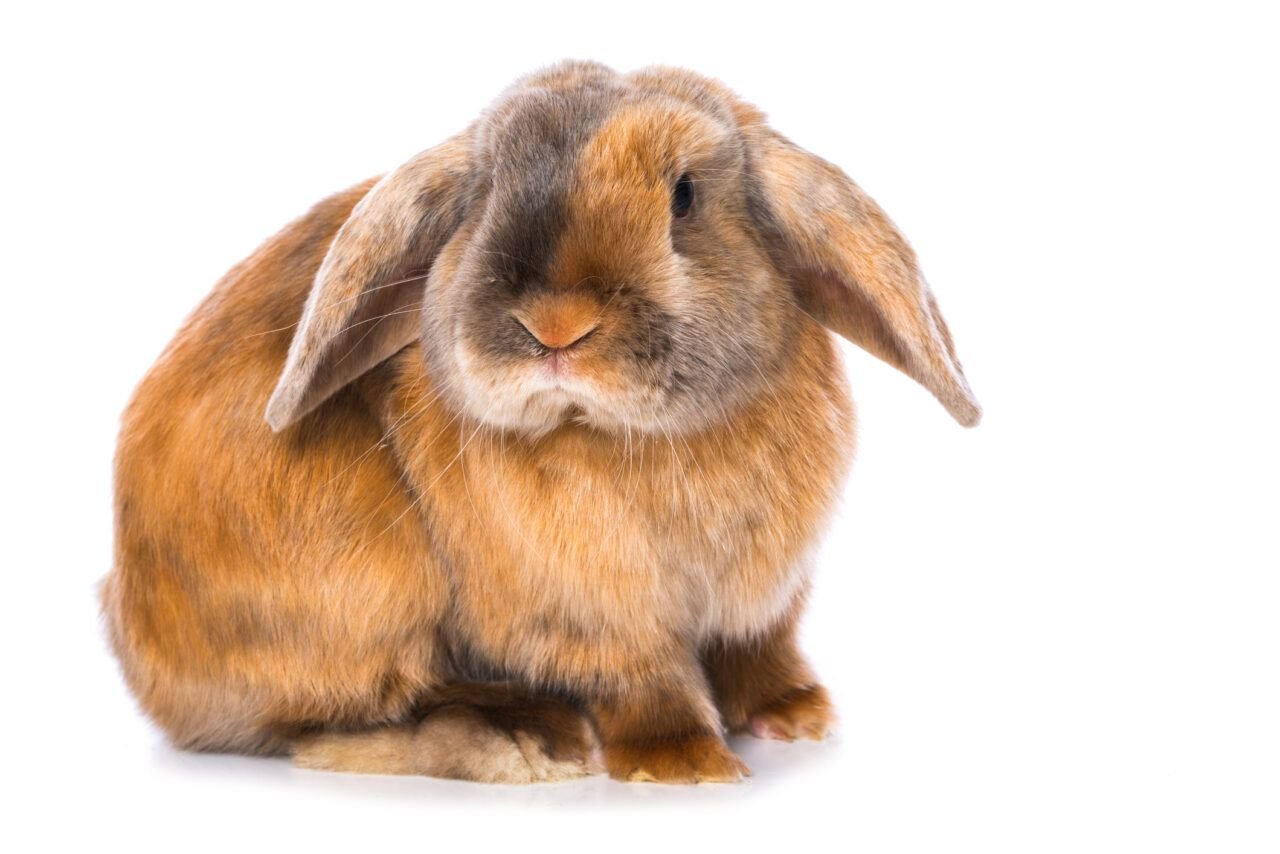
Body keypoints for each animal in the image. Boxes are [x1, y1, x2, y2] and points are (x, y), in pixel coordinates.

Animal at [101, 60, 980, 785]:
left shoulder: (763, 602)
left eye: (685, 195)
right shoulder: (591, 616)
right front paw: (684, 763)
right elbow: (645, 682)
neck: (631, 435)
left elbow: (761, 651)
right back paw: (527, 737)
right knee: (344, 717)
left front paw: (795, 716)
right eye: (485, 196)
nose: (556, 326)